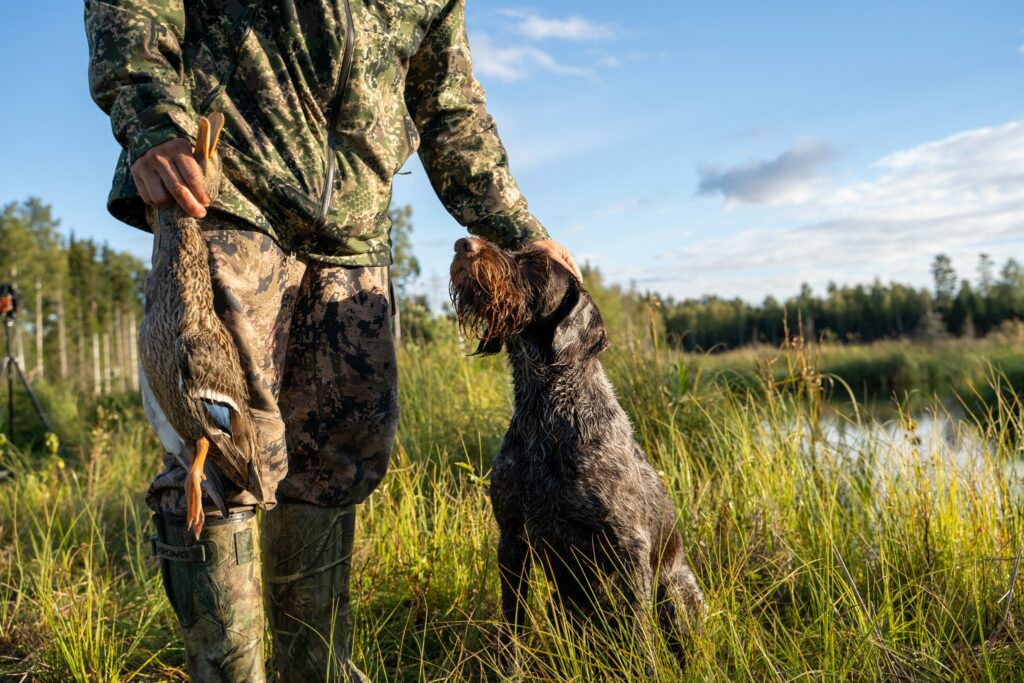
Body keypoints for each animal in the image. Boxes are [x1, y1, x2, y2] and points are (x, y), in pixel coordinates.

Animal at [452, 237, 708, 663]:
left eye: (536, 263)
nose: (463, 243)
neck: (545, 409)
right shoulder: (511, 537)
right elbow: (513, 623)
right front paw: (509, 668)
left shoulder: (629, 545)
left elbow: (641, 635)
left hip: (675, 590)